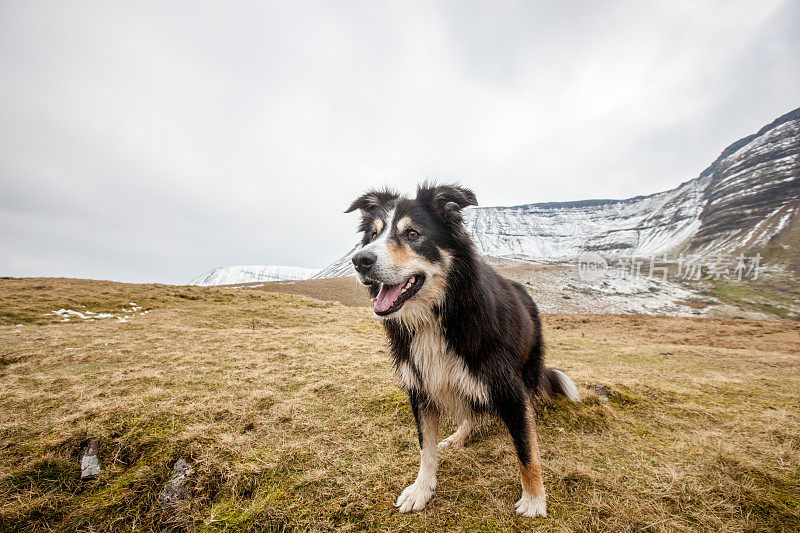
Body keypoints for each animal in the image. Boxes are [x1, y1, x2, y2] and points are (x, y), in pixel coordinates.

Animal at [346, 184, 580, 520]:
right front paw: (421, 490)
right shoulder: (420, 385)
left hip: (528, 365)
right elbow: (426, 447)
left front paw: (534, 499)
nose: (359, 260)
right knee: (471, 411)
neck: (437, 315)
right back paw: (458, 436)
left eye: (413, 234)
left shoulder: (508, 386)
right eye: (373, 235)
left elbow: (525, 449)